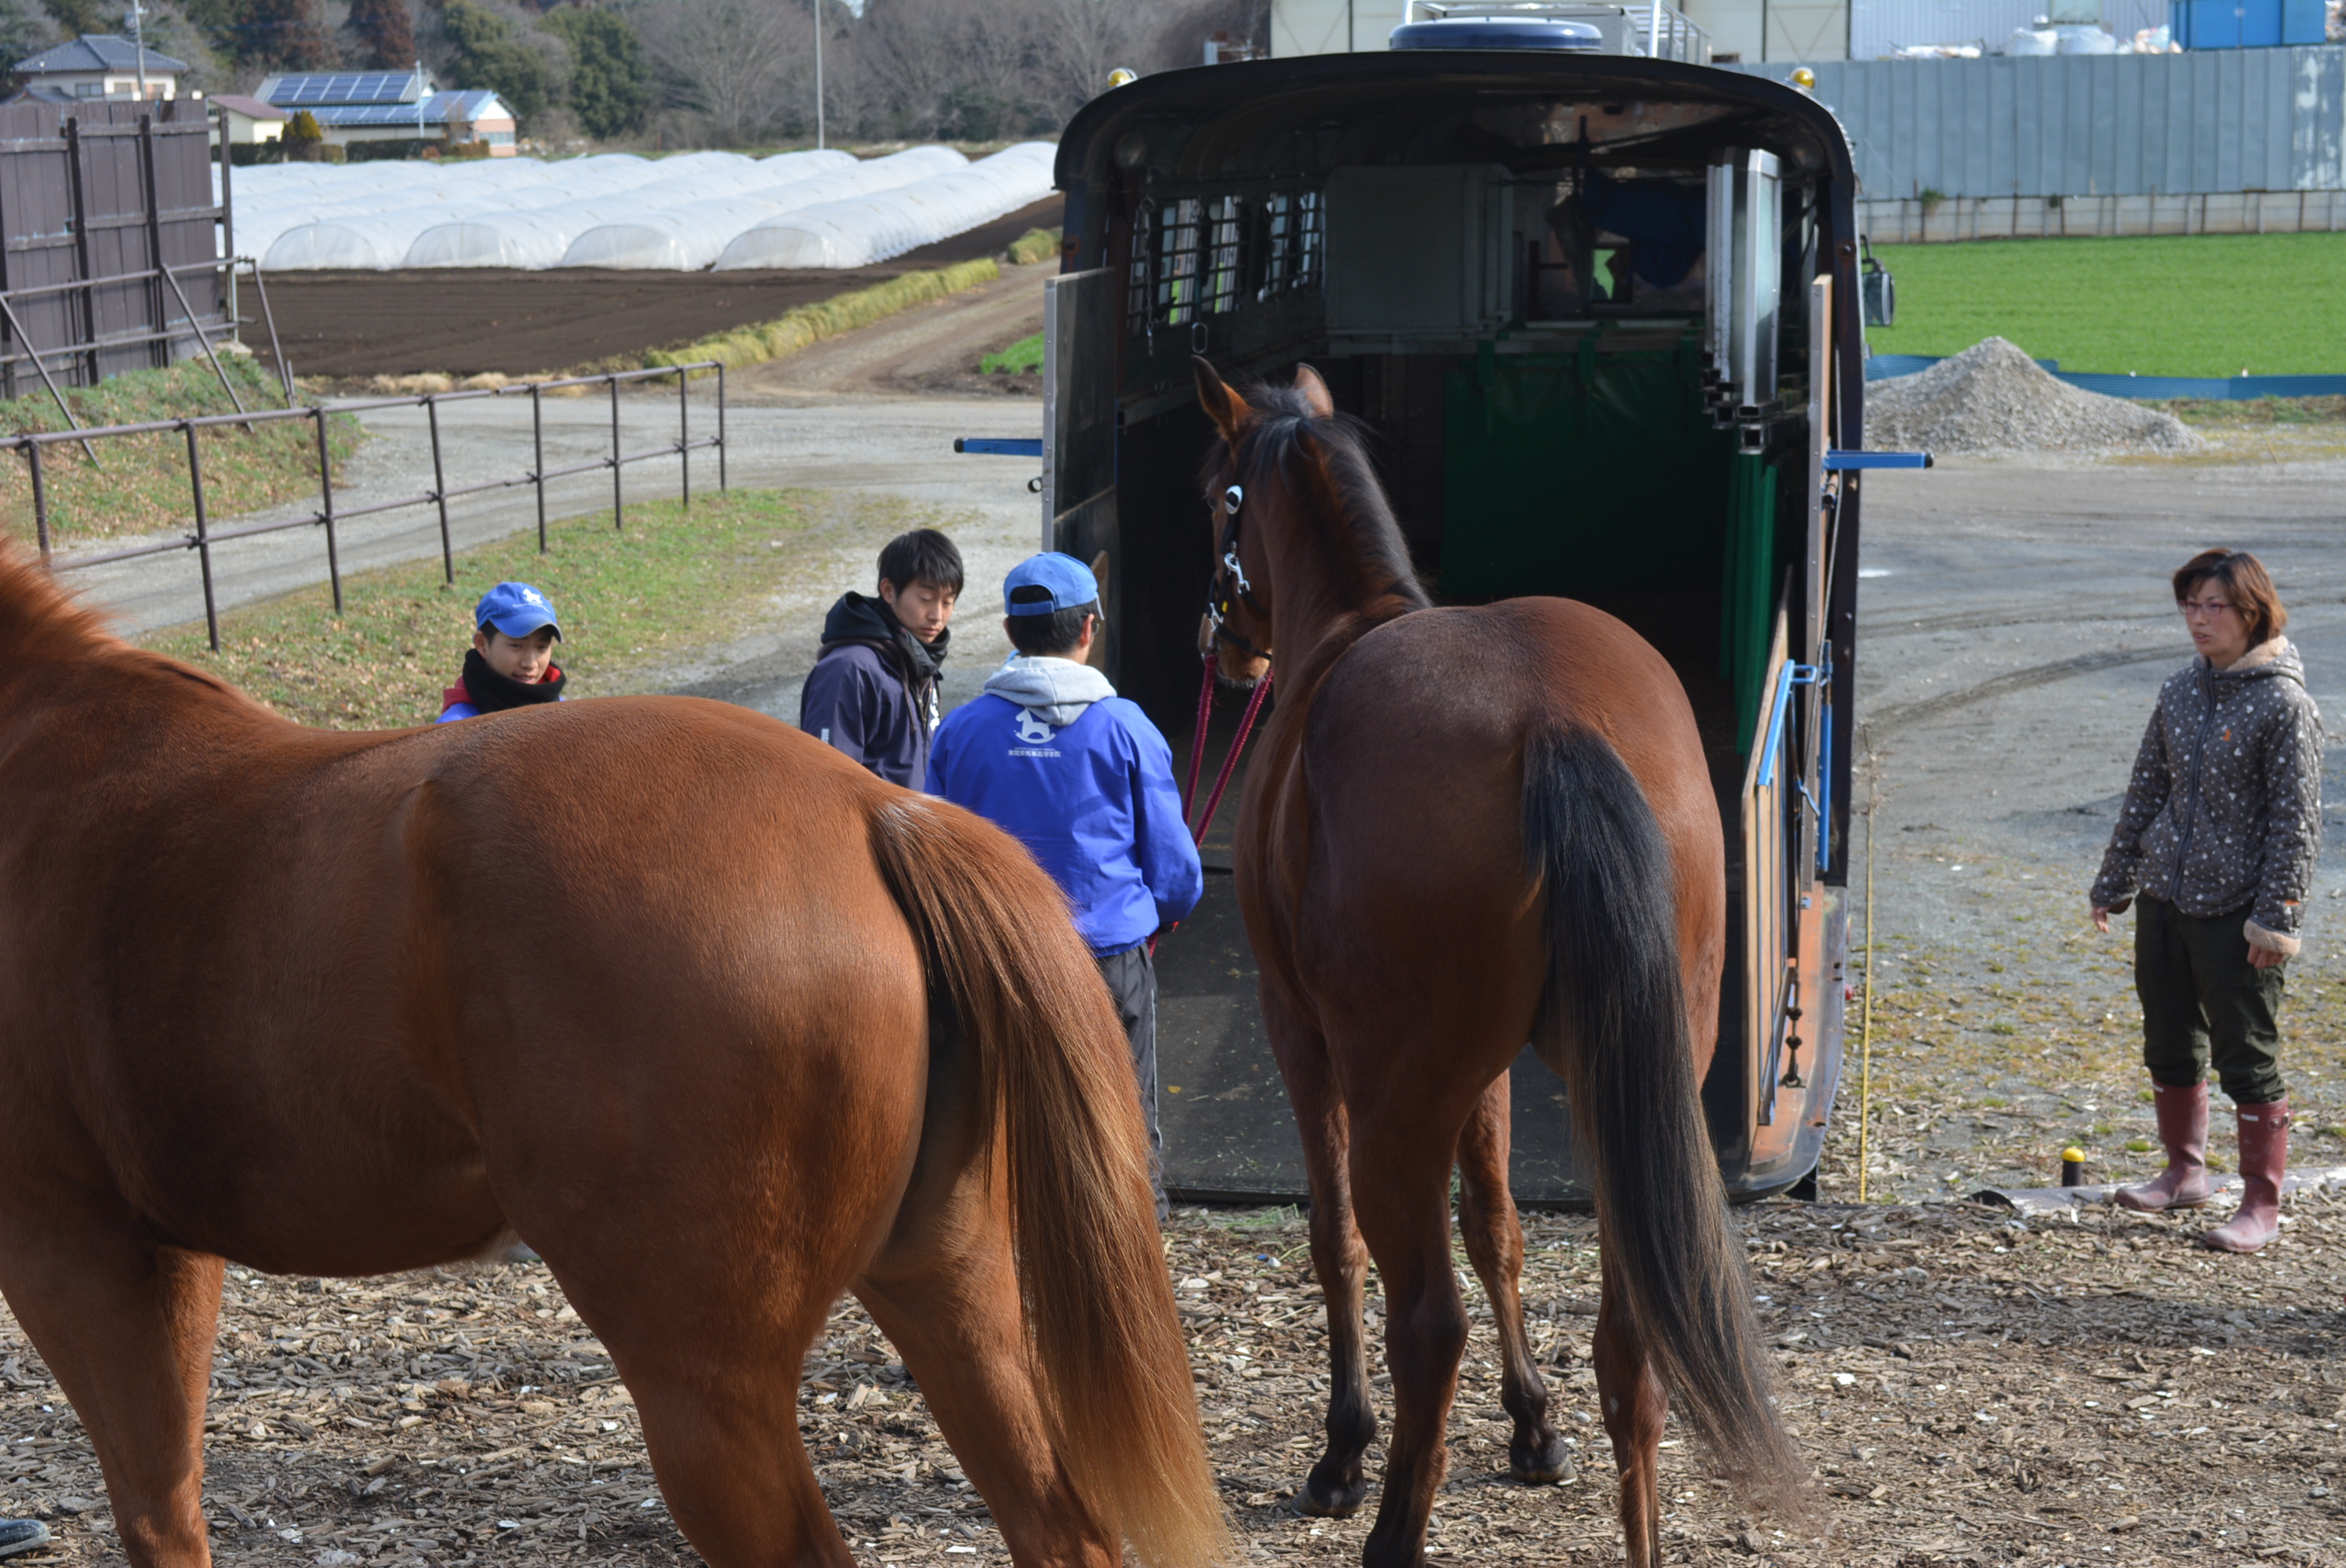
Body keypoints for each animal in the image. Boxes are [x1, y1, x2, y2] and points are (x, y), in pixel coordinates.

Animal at [0, 546, 1224, 1568]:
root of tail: (872, 808)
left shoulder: (73, 1249)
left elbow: (155, 1513)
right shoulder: (163, 1249)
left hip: (706, 1377)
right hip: (950, 1283)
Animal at [1189, 360, 1810, 1568]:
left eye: (1212, 492)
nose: (1222, 647)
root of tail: (1550, 724)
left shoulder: (1304, 1037)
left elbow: (1335, 1239)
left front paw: (1340, 1450)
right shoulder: (1485, 1075)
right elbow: (1501, 1229)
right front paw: (1534, 1425)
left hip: (1393, 1099)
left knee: (1427, 1321)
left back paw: (1388, 1524)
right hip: (1624, 1084)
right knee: (1630, 1347)